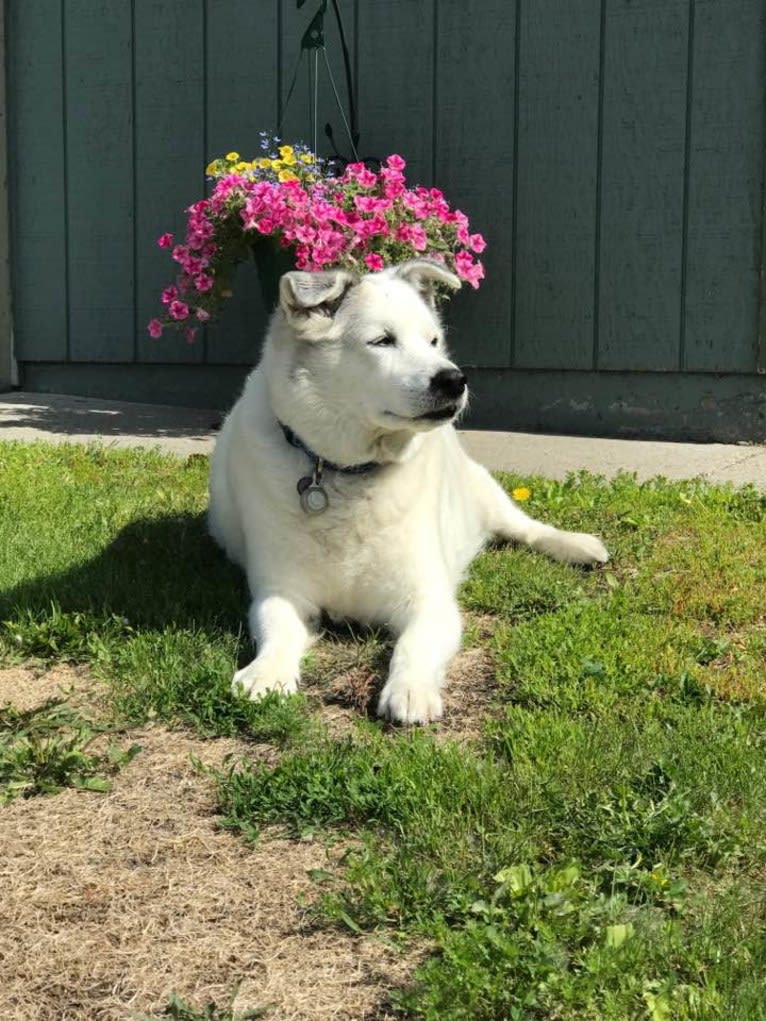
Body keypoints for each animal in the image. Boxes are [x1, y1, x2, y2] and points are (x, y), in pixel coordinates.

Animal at [207, 263, 608, 726]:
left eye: (433, 340)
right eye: (382, 340)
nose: (454, 379)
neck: (347, 473)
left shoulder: (430, 601)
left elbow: (412, 646)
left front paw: (411, 689)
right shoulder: (281, 592)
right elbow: (279, 629)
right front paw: (267, 673)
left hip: (483, 488)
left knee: (524, 527)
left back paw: (577, 545)